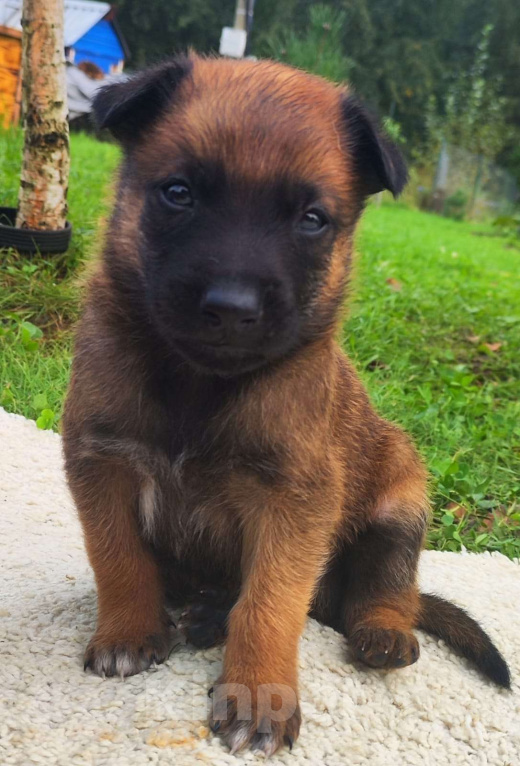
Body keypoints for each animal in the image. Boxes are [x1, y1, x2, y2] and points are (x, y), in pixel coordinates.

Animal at [63, 55, 510, 760]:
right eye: (178, 193)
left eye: (312, 220)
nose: (231, 308)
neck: (200, 384)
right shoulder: (100, 460)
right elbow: (118, 556)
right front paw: (128, 631)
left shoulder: (293, 500)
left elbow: (269, 604)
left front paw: (259, 693)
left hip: (401, 495)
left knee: (385, 589)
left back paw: (383, 631)